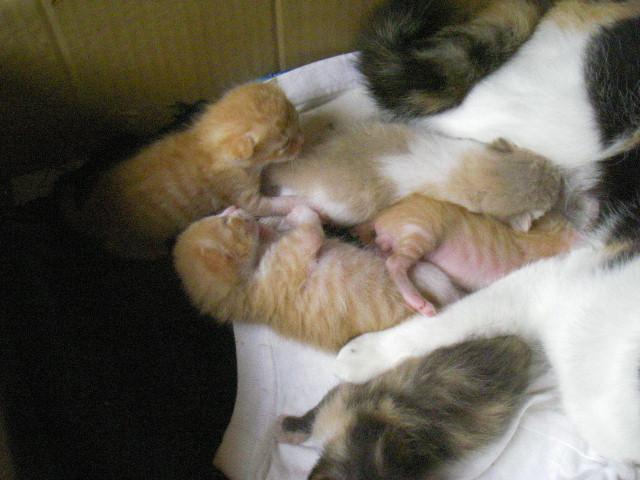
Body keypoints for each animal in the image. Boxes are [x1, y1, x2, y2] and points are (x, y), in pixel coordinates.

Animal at [63, 82, 304, 259]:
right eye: (285, 144)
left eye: (296, 118)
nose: (302, 140)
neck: (208, 143)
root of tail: (89, 214)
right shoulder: (244, 199)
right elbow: (272, 204)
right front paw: (296, 201)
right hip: (134, 242)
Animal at [172, 205, 463, 351]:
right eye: (225, 222)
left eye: (220, 215)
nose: (234, 207)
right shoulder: (289, 262)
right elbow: (307, 230)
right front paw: (299, 212)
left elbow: (280, 227)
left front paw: (269, 223)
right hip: (430, 281)